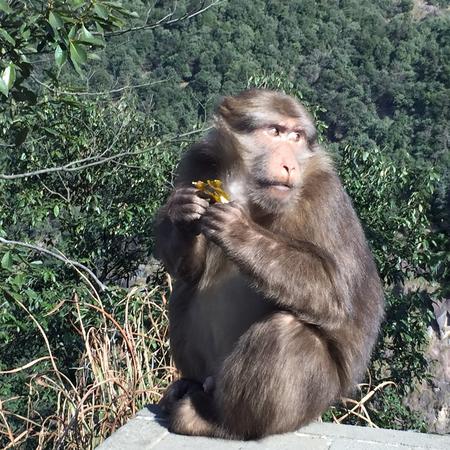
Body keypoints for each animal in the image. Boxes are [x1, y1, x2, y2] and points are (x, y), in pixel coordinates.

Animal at [155, 89, 384, 440]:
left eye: (296, 136)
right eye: (275, 131)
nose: (289, 164)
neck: (249, 192)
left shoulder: (323, 192)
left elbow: (334, 293)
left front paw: (240, 231)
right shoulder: (199, 162)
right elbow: (187, 270)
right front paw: (182, 213)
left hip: (306, 404)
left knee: (286, 331)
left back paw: (220, 421)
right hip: (211, 373)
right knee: (184, 291)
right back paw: (188, 386)